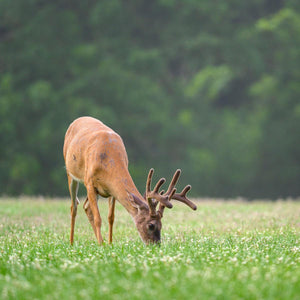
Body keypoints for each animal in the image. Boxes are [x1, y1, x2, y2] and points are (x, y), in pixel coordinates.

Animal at [62, 116, 197, 245]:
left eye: (161, 225)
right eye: (151, 225)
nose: (156, 244)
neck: (107, 161)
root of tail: (76, 120)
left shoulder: (111, 189)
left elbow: (111, 217)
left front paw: (109, 244)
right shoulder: (89, 182)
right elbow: (98, 218)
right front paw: (101, 245)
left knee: (86, 206)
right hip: (70, 173)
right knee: (74, 207)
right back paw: (72, 242)